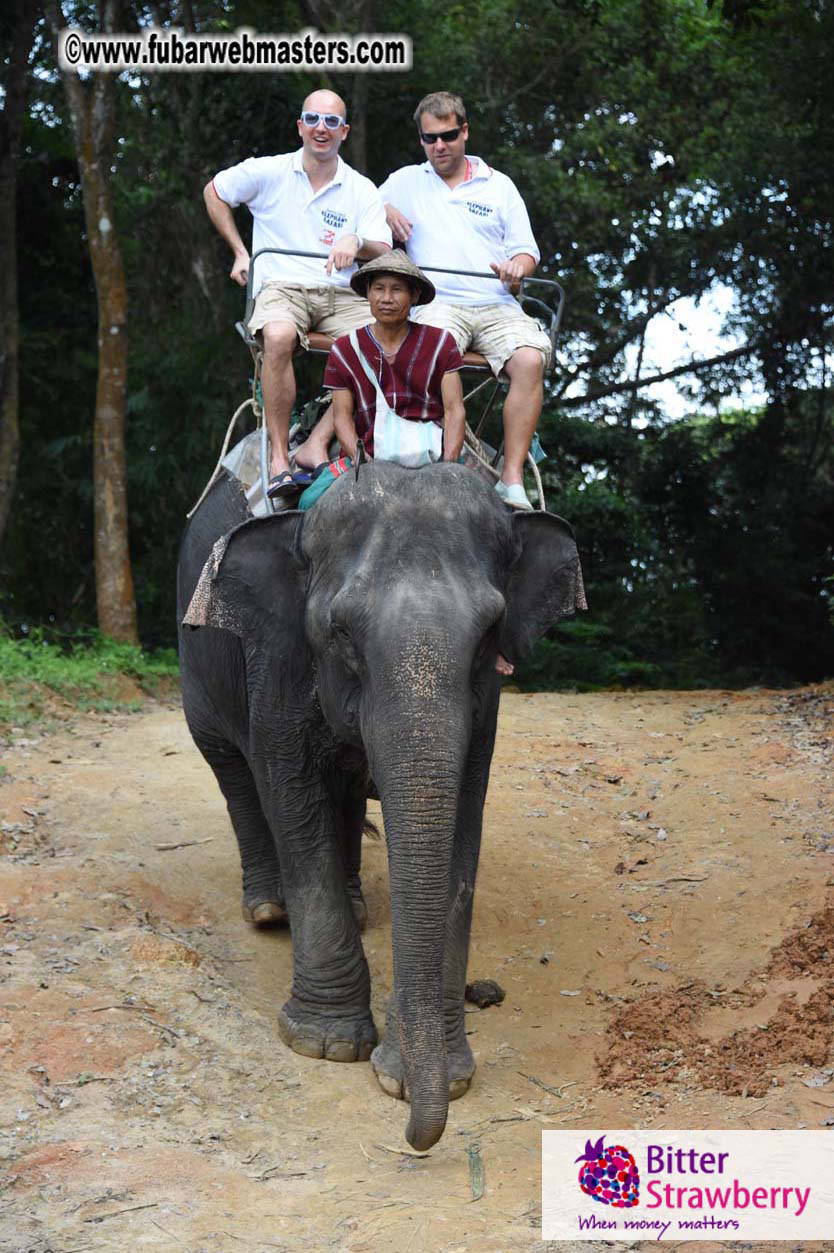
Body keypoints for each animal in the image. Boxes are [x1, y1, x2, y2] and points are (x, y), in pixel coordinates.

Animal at [177, 459, 585, 1150]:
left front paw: (430, 1074)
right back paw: (267, 910)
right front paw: (327, 1045)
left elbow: (461, 824)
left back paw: (360, 904)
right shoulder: (279, 658)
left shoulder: (483, 708)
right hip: (196, 663)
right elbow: (291, 797)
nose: (419, 1137)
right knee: (231, 769)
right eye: (339, 629)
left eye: (489, 632)